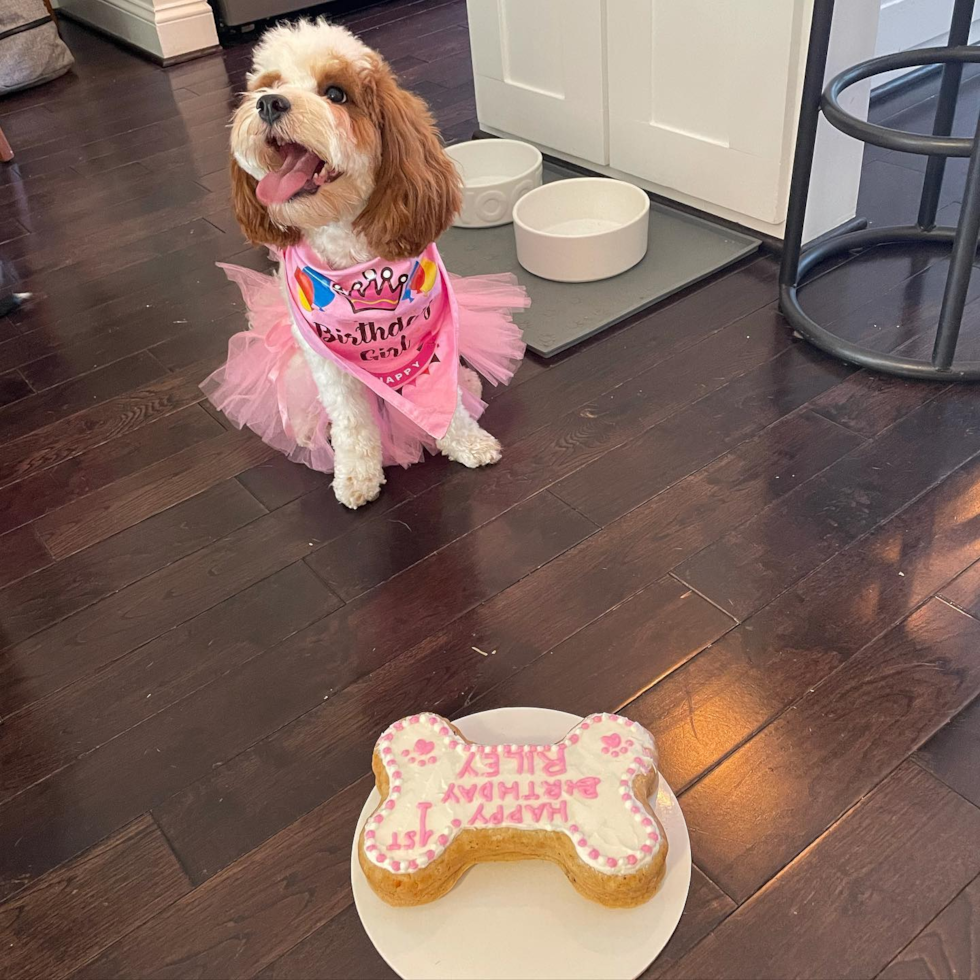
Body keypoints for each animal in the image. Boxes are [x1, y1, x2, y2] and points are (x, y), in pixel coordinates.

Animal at [225, 19, 524, 510]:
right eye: (269, 85)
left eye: (336, 93)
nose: (268, 103)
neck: (352, 257)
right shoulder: (327, 362)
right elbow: (351, 421)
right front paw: (356, 475)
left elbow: (448, 402)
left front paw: (467, 440)